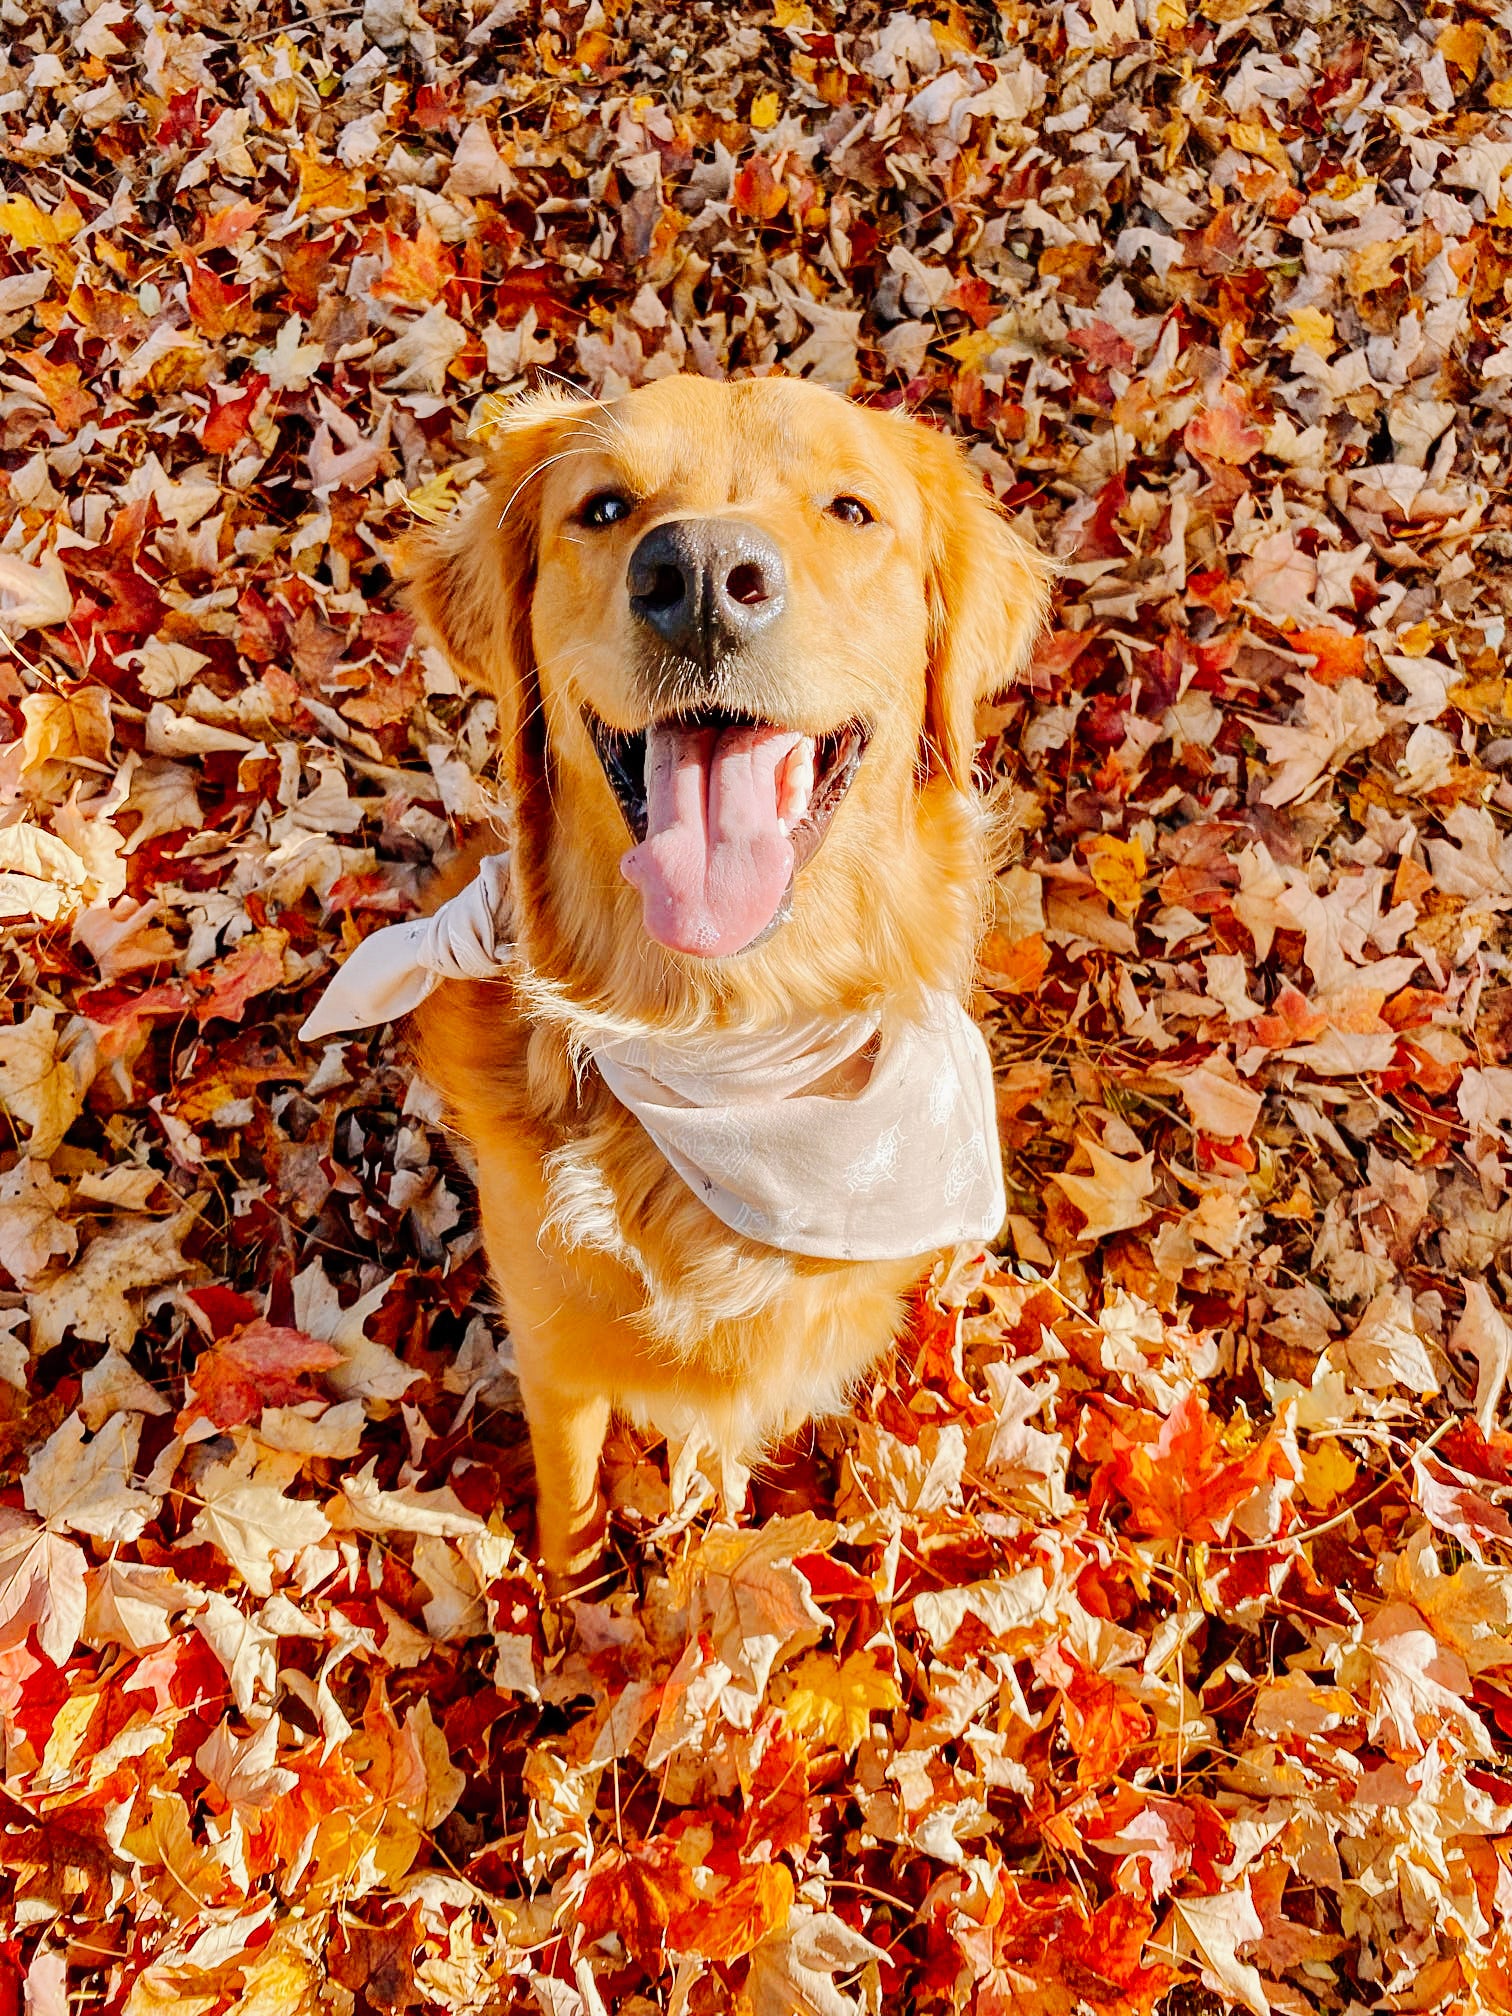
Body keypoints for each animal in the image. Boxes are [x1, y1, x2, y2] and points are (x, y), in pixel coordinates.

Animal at [403, 370, 1056, 1580]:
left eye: (849, 510)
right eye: (605, 509)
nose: (701, 577)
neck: (726, 1042)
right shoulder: (554, 1360)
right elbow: (571, 1505)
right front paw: (570, 1603)